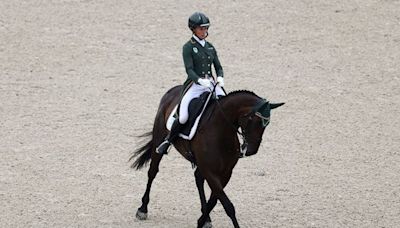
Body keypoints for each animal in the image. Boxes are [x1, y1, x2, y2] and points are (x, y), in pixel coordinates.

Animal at [131, 84, 284, 227]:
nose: (252, 150)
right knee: (152, 172)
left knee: (198, 179)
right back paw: (142, 209)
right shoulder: (210, 172)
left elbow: (214, 200)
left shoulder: (226, 173)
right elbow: (228, 205)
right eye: (252, 119)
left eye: (267, 124)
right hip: (159, 139)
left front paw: (202, 219)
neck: (221, 131)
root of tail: (174, 90)